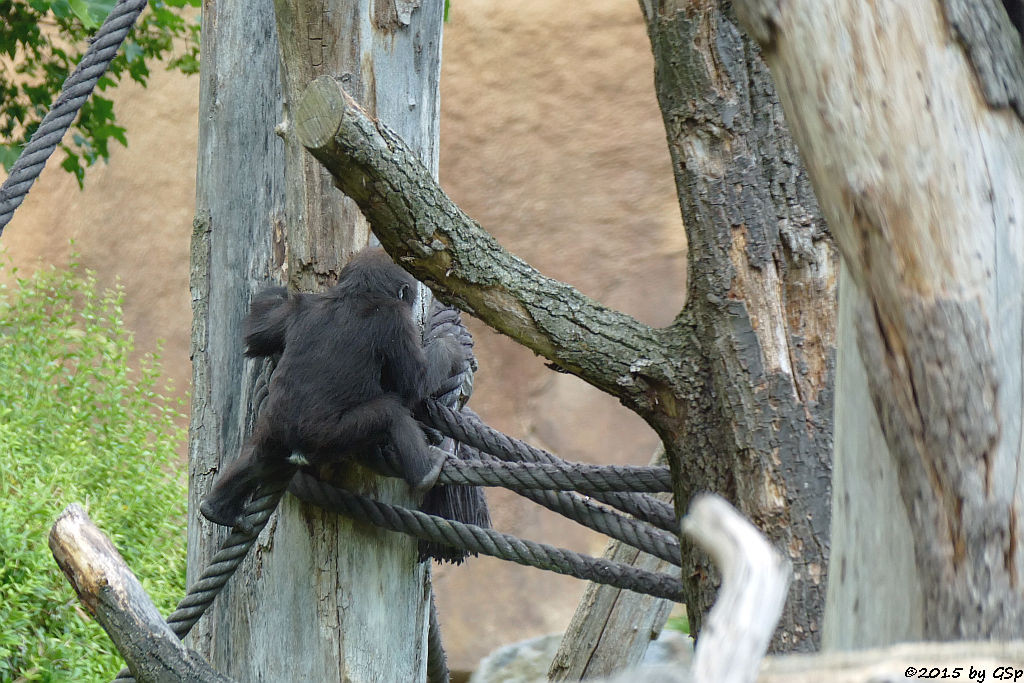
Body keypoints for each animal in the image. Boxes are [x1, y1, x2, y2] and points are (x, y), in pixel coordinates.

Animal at [198, 248, 468, 532]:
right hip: (332, 437)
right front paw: (449, 349)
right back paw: (425, 472)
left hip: (273, 432)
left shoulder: (301, 306)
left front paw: (279, 291)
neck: (356, 292)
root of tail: (297, 448)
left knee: (256, 456)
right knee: (390, 413)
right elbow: (414, 382)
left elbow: (257, 334)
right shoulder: (395, 319)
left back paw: (216, 507)